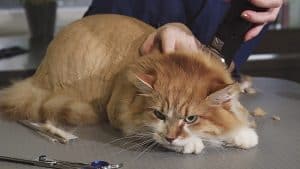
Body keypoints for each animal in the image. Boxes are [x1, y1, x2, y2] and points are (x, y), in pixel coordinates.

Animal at [0, 14, 258, 154]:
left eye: (191, 118)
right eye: (159, 114)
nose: (172, 137)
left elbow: (234, 116)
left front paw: (242, 133)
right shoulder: (121, 113)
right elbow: (151, 132)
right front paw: (192, 142)